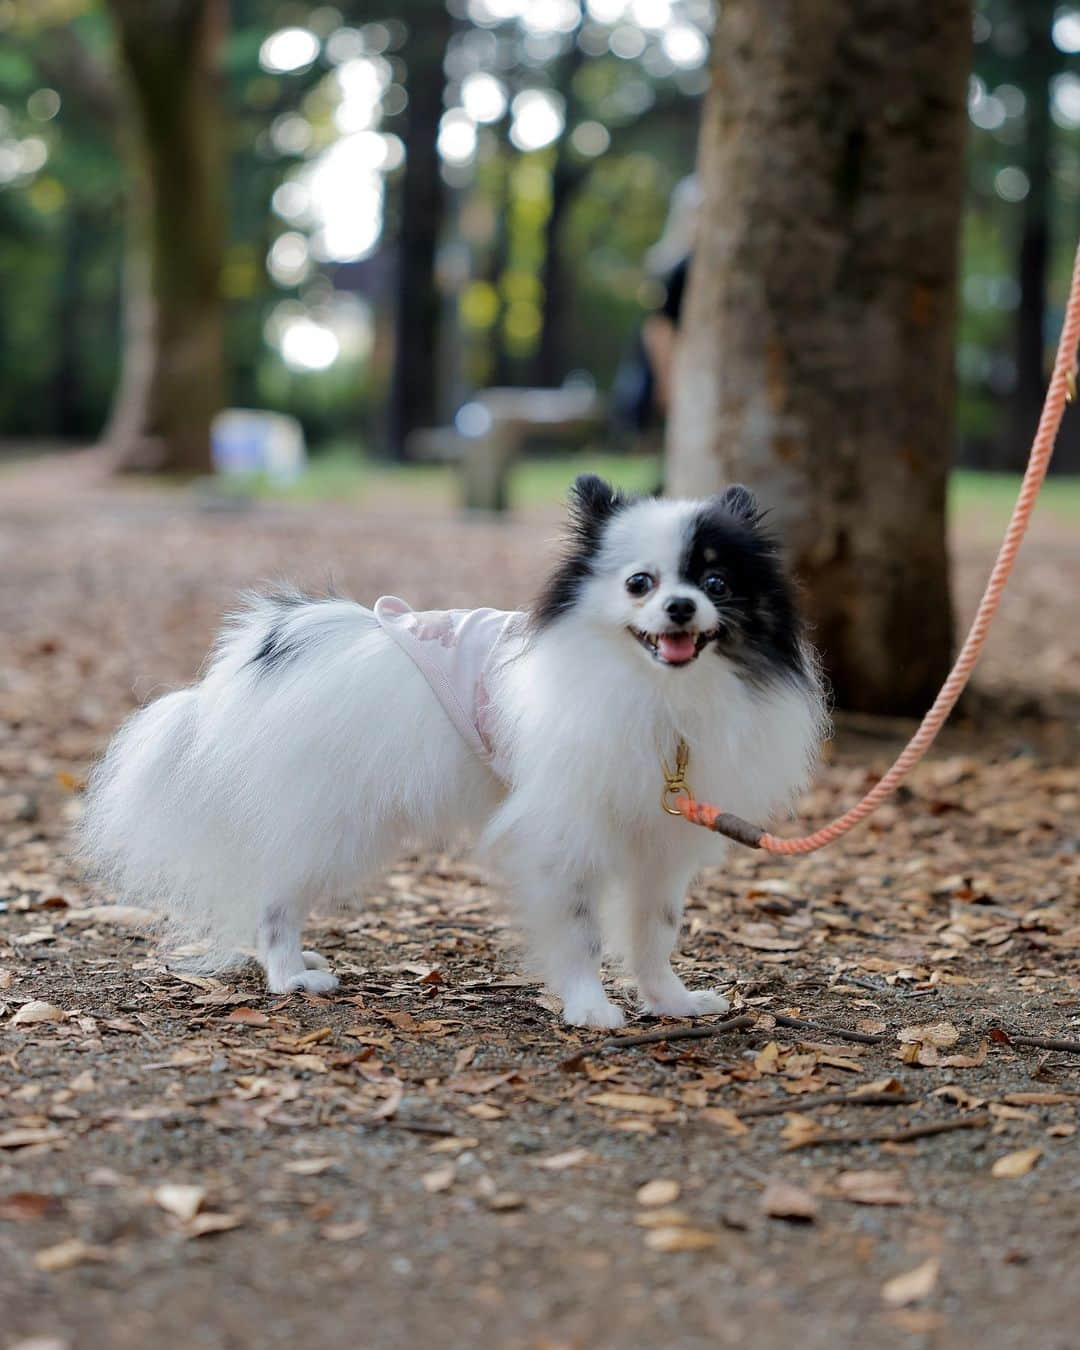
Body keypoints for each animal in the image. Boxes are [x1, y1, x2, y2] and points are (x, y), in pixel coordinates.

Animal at [80, 480, 826, 1026]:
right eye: (639, 583)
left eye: (717, 585)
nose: (680, 607)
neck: (661, 695)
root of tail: (270, 647)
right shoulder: (564, 834)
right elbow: (581, 929)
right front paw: (590, 1009)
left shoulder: (661, 842)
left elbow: (655, 931)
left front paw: (670, 1002)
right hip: (335, 823)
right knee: (275, 898)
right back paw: (290, 975)